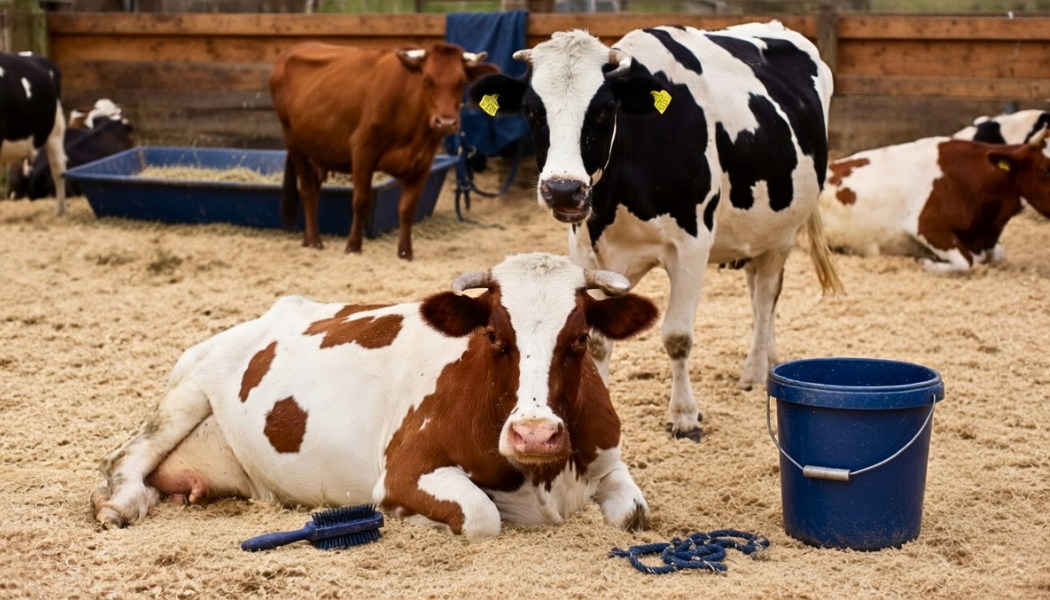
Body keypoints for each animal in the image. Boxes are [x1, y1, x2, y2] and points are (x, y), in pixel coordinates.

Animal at [90, 252, 659, 538]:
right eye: (495, 334)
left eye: (579, 338)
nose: (534, 434)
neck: (542, 475)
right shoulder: (406, 468)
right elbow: (482, 517)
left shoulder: (608, 460)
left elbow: (633, 515)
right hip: (188, 390)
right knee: (125, 456)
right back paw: (119, 503)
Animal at [270, 42, 499, 260]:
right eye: (427, 79)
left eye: (461, 81)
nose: (445, 122)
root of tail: (291, 51)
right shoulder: (362, 149)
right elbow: (361, 201)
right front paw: (353, 246)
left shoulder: (424, 162)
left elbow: (407, 208)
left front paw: (405, 252)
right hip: (294, 142)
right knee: (308, 191)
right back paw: (313, 240)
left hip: (317, 150)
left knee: (315, 189)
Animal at [467, 23, 841, 441]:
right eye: (533, 111)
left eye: (604, 110)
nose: (563, 189)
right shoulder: (586, 250)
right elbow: (597, 340)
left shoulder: (691, 246)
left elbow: (677, 337)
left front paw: (684, 416)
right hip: (755, 232)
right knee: (759, 292)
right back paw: (770, 360)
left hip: (783, 232)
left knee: (765, 297)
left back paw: (755, 371)